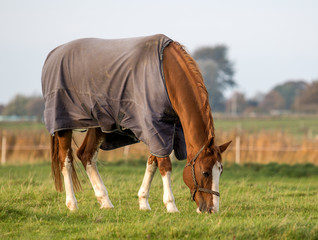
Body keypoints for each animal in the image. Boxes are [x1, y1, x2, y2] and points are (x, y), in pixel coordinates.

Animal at [42, 34, 231, 214]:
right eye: (205, 172)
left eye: (221, 171)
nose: (212, 209)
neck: (166, 74)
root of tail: (53, 54)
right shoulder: (154, 126)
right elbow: (164, 165)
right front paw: (171, 205)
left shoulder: (163, 129)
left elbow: (152, 163)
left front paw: (143, 202)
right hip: (63, 125)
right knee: (66, 160)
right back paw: (72, 204)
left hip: (99, 123)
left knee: (86, 155)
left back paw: (105, 201)